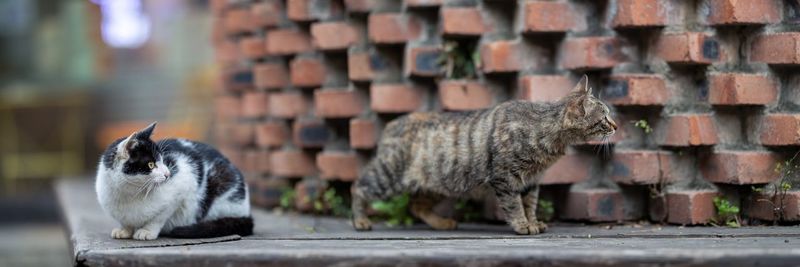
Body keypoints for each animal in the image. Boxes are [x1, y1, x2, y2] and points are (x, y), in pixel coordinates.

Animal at [96, 123, 253, 241]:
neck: (129, 193)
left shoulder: (181, 189)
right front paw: (124, 230)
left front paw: (147, 231)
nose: (168, 174)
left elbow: (158, 218)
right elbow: (126, 221)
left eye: (163, 160)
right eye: (151, 165)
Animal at [352, 75, 620, 234]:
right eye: (605, 118)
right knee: (359, 187)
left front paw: (533, 222)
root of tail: (391, 124)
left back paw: (442, 223)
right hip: (388, 177)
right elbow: (514, 205)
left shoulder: (532, 181)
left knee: (416, 206)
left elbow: (530, 204)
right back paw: (360, 221)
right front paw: (522, 225)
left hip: (437, 184)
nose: (617, 126)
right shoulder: (505, 177)